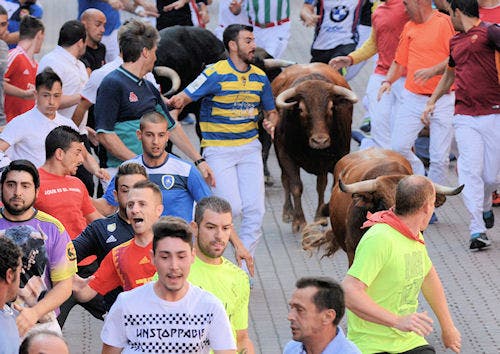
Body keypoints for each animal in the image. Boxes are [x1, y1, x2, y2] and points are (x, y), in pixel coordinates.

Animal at [272, 62, 358, 232]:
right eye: (301, 109)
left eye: (331, 107)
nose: (320, 141)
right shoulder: (286, 156)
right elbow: (295, 186)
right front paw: (299, 221)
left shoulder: (338, 158)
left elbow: (328, 187)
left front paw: (323, 216)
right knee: (285, 180)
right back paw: (288, 212)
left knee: (321, 184)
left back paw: (319, 216)